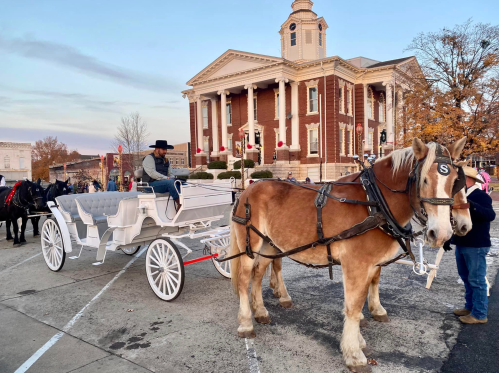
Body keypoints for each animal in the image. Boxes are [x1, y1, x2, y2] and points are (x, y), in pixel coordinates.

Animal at [230, 138, 472, 370]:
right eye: (424, 180)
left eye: (454, 183)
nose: (442, 233)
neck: (374, 202)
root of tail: (247, 189)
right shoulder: (356, 264)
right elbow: (353, 307)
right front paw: (354, 353)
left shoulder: (370, 266)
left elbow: (363, 296)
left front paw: (359, 337)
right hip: (249, 246)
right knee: (243, 279)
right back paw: (245, 322)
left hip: (269, 245)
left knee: (258, 274)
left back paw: (261, 311)